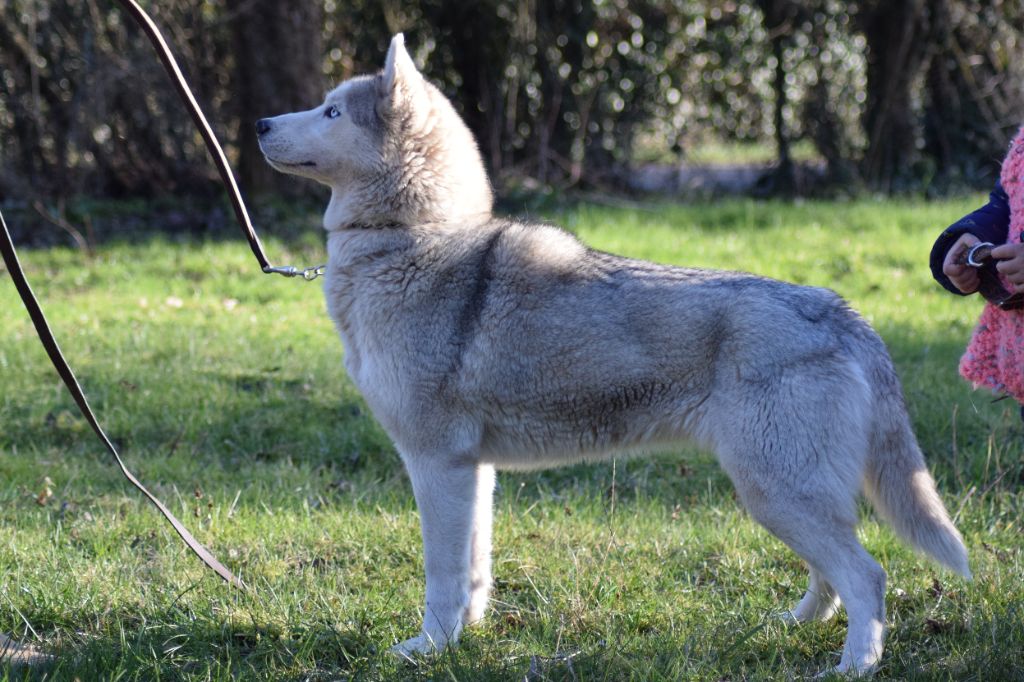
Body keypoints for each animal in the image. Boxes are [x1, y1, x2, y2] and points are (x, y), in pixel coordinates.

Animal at [256, 34, 966, 671]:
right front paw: (466, 639)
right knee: (833, 577)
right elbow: (474, 573)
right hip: (785, 494)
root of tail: (842, 313)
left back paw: (853, 666)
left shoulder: (436, 463)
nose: (259, 123)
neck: (413, 239)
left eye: (331, 112)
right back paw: (791, 626)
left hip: (776, 491)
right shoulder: (473, 471)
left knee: (867, 576)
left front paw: (427, 650)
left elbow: (442, 577)